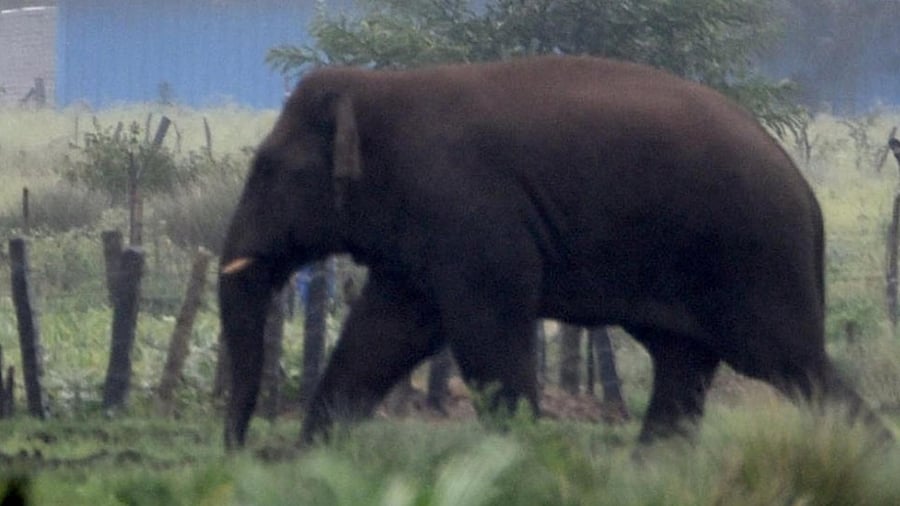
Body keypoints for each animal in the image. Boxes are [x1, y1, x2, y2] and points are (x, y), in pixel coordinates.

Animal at [219, 55, 888, 448]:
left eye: (268, 170)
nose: (241, 449)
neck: (377, 87)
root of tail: (803, 187)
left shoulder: (471, 214)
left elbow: (486, 337)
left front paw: (519, 458)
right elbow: (380, 336)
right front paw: (308, 466)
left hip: (755, 253)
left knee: (788, 362)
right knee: (683, 364)